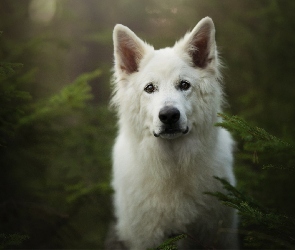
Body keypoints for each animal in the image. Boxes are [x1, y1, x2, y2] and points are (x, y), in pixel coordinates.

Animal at [110, 16, 239, 249]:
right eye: (150, 88)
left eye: (184, 85)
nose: (169, 115)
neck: (173, 166)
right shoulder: (146, 237)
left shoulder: (218, 233)